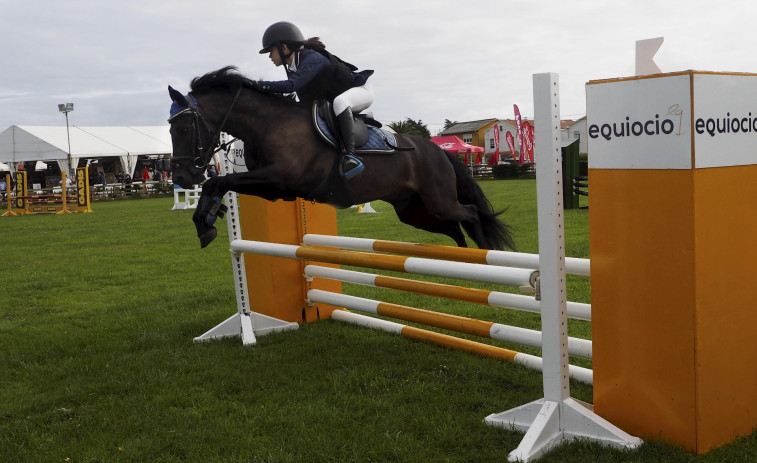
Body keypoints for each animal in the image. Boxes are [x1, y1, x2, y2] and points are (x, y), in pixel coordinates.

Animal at [168, 66, 512, 250]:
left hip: (437, 201)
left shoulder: (279, 178)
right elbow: (219, 182)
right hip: (415, 211)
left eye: (183, 128)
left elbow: (218, 180)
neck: (269, 124)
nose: (181, 177)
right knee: (455, 228)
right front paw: (206, 220)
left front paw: (207, 220)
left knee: (470, 214)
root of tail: (439, 151)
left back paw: (486, 258)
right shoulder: (276, 189)